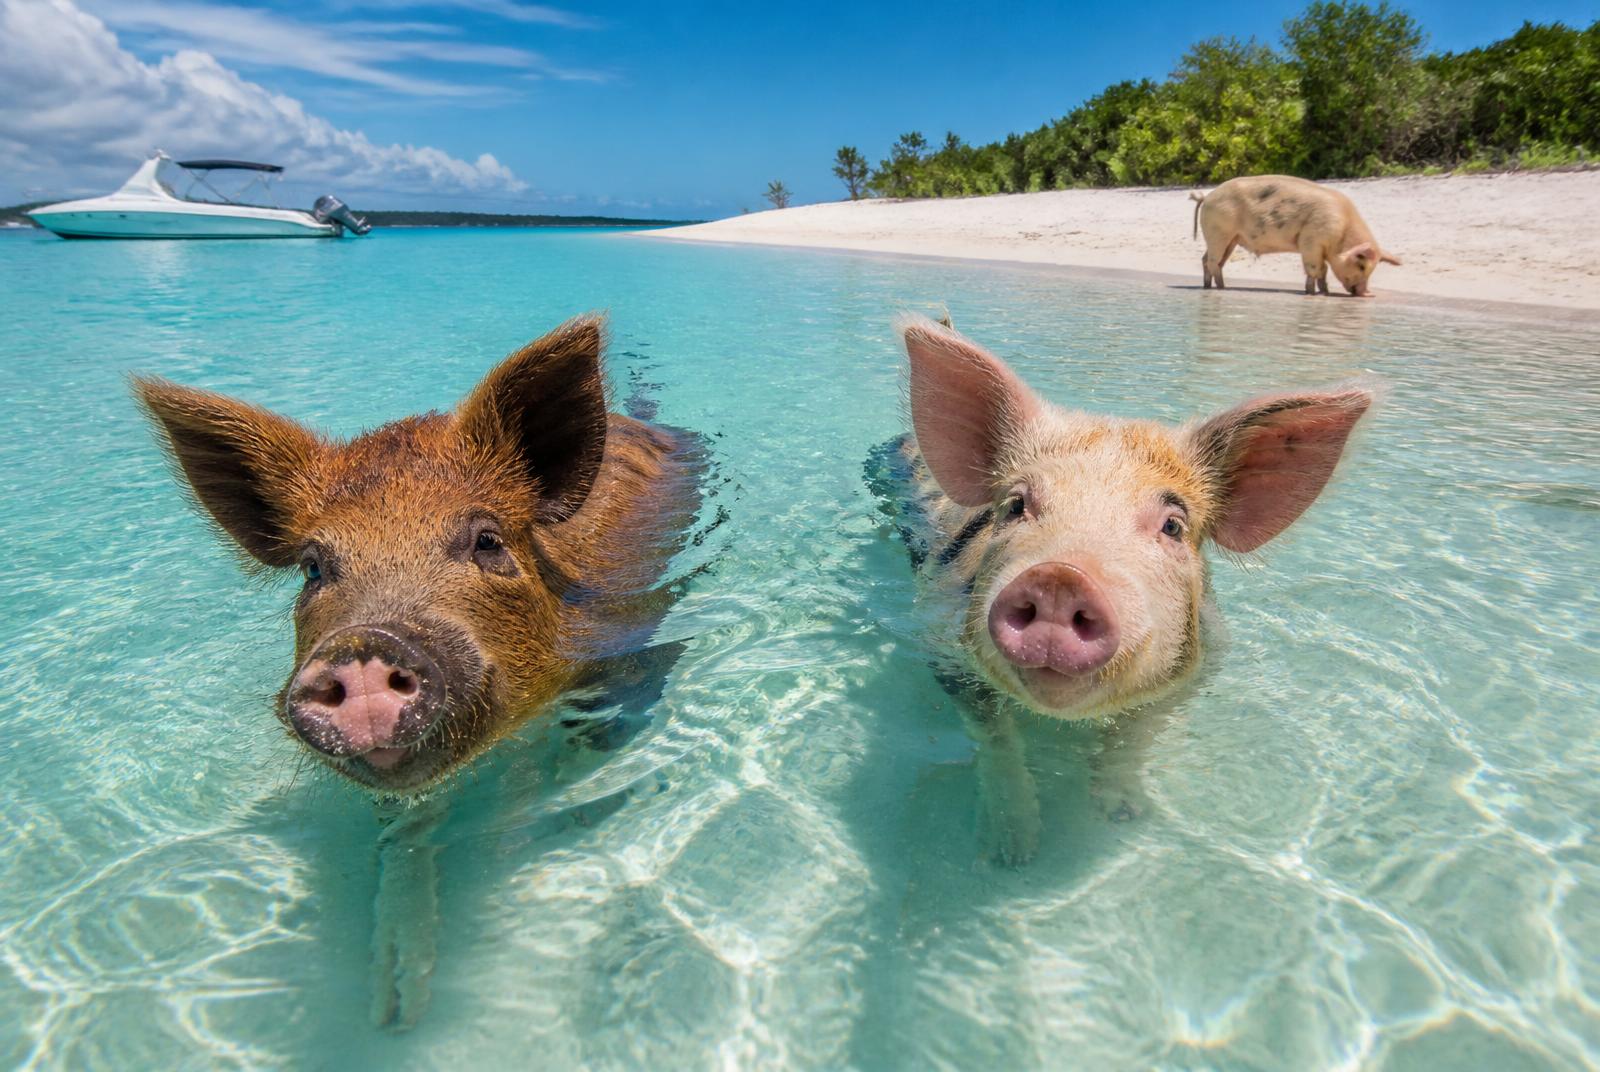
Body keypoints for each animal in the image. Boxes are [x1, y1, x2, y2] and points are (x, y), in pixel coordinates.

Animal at [135, 314, 703, 1025]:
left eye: (487, 540)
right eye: (313, 567)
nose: (362, 645)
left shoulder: (624, 655)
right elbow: (405, 842)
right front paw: (395, 1008)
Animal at [875, 316, 1373, 864]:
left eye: (1173, 526)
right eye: (1016, 505)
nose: (1061, 577)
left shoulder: (1190, 679)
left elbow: (1133, 738)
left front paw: (1123, 815)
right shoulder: (944, 651)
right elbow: (996, 741)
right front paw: (1011, 853)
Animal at [1191, 175, 1401, 296]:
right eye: (1361, 265)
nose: (1368, 293)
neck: (1341, 232)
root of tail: (1206, 197)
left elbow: (1324, 270)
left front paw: (1324, 292)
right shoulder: (1311, 241)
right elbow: (1316, 268)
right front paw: (1312, 293)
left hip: (1230, 239)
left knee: (1208, 260)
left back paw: (1209, 287)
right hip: (1218, 232)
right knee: (1212, 261)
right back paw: (1222, 288)